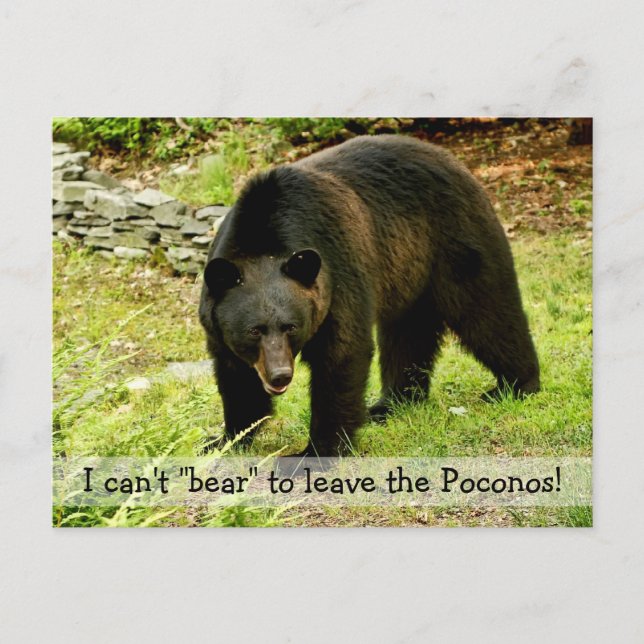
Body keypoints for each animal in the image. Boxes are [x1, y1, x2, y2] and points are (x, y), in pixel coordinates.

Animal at [198, 134, 539, 457]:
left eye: (290, 326)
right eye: (254, 330)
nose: (280, 375)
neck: (265, 236)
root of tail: (453, 159)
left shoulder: (337, 272)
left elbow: (342, 353)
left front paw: (315, 450)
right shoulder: (220, 322)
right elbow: (236, 377)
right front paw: (223, 440)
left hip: (454, 241)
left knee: (485, 310)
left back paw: (517, 384)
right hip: (408, 272)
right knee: (408, 333)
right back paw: (391, 403)